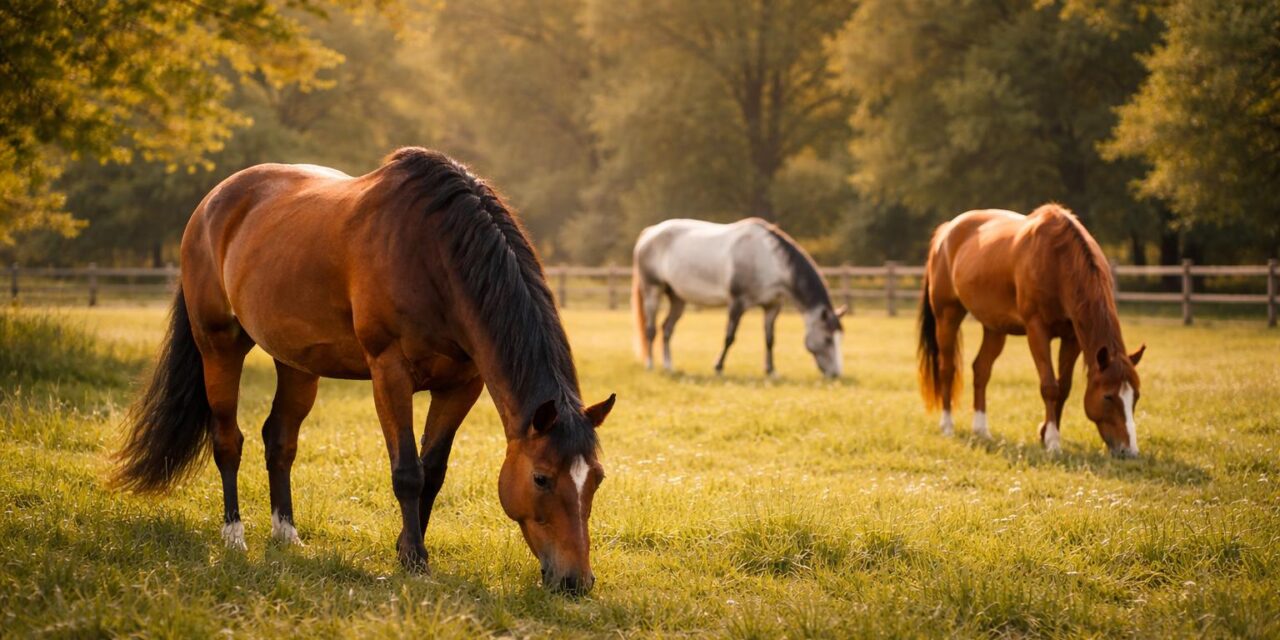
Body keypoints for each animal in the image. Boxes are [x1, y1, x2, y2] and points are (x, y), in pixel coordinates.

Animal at [113, 148, 615, 593]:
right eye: (541, 478)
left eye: (595, 478)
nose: (576, 581)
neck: (432, 254)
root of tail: (212, 203)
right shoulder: (389, 371)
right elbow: (408, 470)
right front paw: (414, 558)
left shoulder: (461, 385)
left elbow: (433, 471)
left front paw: (407, 547)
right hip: (218, 346)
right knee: (227, 441)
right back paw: (234, 535)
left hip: (297, 364)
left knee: (280, 440)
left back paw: (285, 533)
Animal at [631, 218, 846, 378]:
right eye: (828, 339)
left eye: (839, 338)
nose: (836, 374)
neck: (767, 260)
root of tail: (649, 232)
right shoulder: (737, 302)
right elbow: (729, 337)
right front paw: (718, 367)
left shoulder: (772, 306)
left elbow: (770, 339)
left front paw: (771, 371)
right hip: (652, 290)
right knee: (651, 329)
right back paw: (650, 364)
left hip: (677, 298)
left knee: (667, 329)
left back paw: (669, 366)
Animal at [918, 203, 1145, 457]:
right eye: (1107, 396)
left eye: (1135, 396)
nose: (1129, 450)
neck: (1057, 260)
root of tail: (946, 232)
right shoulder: (1037, 330)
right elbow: (1049, 386)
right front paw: (1053, 442)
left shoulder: (1072, 337)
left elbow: (1063, 388)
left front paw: (1045, 433)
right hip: (947, 316)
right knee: (947, 369)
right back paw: (947, 426)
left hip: (994, 328)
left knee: (981, 370)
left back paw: (981, 429)